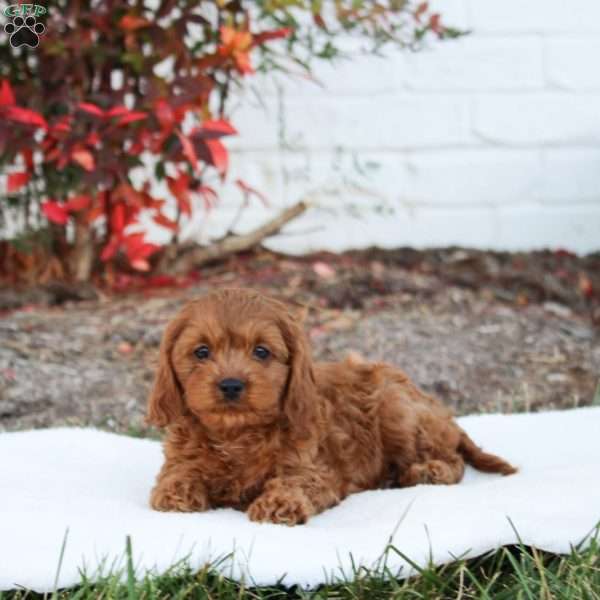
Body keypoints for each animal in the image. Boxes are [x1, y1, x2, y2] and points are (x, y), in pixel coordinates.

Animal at [146, 288, 516, 524]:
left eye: (262, 351)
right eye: (201, 352)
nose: (231, 384)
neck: (237, 433)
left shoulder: (314, 468)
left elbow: (295, 481)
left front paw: (280, 503)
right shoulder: (179, 457)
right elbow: (176, 474)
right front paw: (176, 494)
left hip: (395, 408)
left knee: (454, 461)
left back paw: (427, 471)